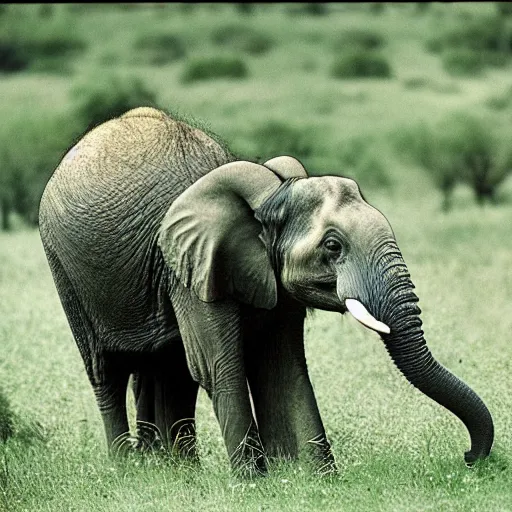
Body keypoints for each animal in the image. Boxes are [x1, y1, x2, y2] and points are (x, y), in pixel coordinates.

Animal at [38, 107, 494, 476]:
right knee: (108, 370)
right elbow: (216, 365)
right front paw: (253, 482)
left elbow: (281, 366)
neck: (273, 195)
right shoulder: (187, 264)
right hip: (64, 268)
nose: (469, 458)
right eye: (333, 246)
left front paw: (315, 478)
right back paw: (128, 469)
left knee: (165, 365)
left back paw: (173, 470)